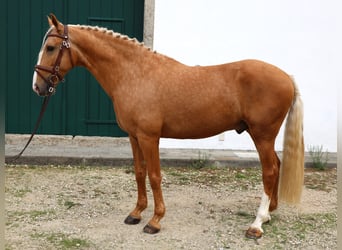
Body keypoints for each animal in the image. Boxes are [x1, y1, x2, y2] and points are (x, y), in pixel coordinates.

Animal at [33, 14, 304, 239]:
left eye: (51, 48)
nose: (38, 86)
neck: (135, 74)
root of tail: (287, 77)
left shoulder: (149, 137)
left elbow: (154, 176)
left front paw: (155, 221)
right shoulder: (134, 136)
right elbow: (139, 173)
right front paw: (136, 213)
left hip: (262, 135)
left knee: (270, 171)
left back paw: (256, 224)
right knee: (277, 165)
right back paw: (268, 213)